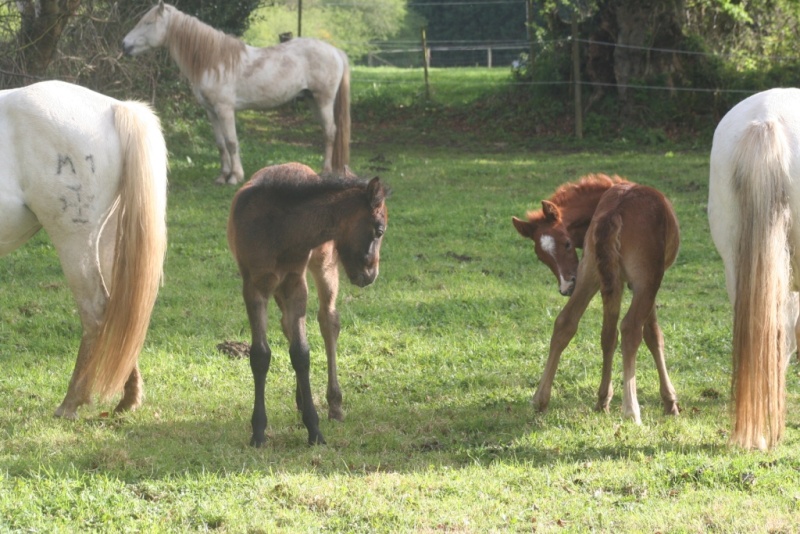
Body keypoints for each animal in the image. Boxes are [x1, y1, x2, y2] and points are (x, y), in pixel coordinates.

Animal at [0, 81, 167, 420]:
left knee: (96, 311)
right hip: (106, 242)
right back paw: (128, 399)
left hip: (75, 243)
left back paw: (71, 402)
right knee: (119, 313)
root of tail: (115, 107)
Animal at [122, 2, 350, 185]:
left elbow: (232, 143)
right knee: (327, 131)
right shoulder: (211, 111)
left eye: (148, 23)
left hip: (323, 99)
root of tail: (336, 51)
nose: (124, 45)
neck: (213, 62)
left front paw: (235, 177)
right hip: (312, 100)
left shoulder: (225, 109)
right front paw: (222, 176)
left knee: (330, 132)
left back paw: (326, 171)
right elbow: (221, 144)